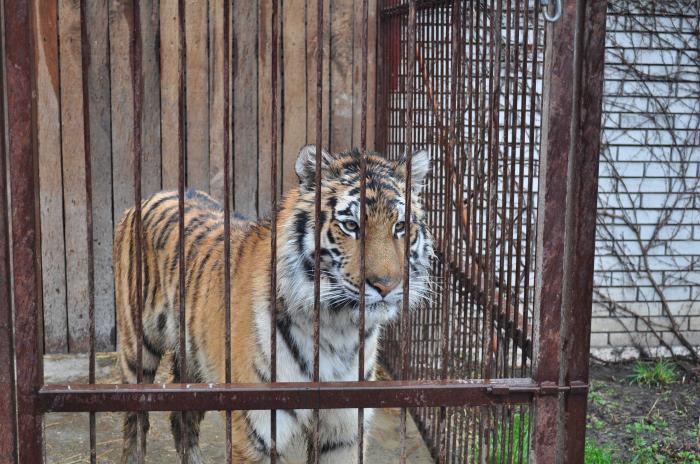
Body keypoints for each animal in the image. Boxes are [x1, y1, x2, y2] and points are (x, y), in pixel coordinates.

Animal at [114, 144, 432, 460]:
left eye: (400, 226)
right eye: (351, 225)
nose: (387, 285)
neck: (338, 329)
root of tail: (149, 198)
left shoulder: (345, 432)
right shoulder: (256, 433)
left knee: (183, 420)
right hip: (138, 349)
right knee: (135, 421)